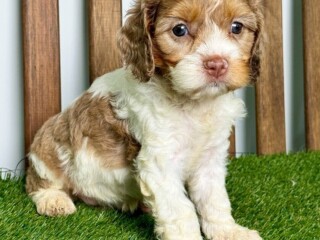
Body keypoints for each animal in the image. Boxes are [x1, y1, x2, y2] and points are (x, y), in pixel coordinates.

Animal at [26, 0, 262, 239]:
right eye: (179, 30)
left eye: (236, 27)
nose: (217, 64)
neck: (194, 103)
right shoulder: (160, 160)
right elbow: (181, 209)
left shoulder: (210, 158)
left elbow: (214, 200)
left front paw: (229, 231)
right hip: (48, 146)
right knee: (38, 182)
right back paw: (54, 200)